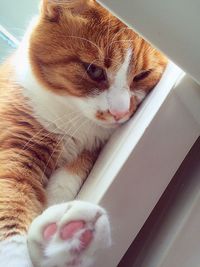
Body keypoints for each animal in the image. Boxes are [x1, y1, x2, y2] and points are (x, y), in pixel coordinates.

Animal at [0, 0, 167, 267]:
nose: (120, 112)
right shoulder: (17, 146)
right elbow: (11, 209)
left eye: (142, 75)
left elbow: (66, 181)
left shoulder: (91, 148)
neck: (74, 119)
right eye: (94, 71)